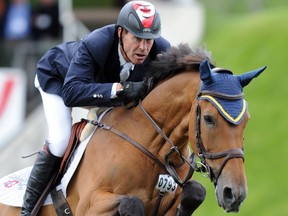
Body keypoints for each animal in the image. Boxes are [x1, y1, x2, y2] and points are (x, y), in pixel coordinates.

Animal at [0, 43, 266, 214]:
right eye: (209, 119)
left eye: (246, 120)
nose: (234, 194)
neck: (155, 148)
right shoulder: (91, 204)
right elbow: (131, 203)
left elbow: (196, 192)